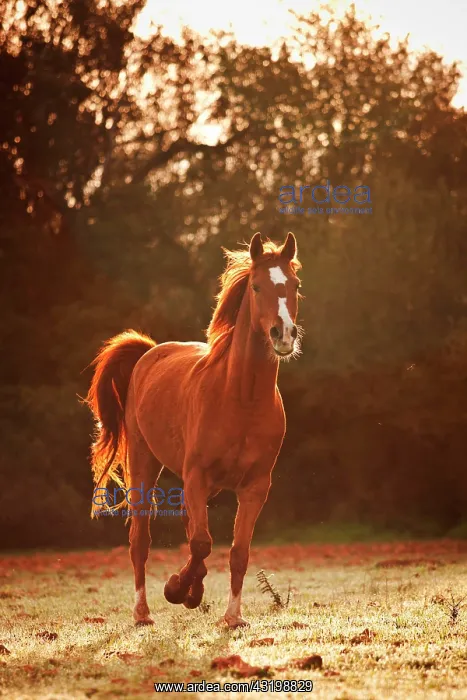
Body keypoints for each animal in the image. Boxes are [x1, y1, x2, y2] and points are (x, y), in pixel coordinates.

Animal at [86, 231, 303, 628]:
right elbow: (202, 543)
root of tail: (148, 354)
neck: (241, 399)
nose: (283, 335)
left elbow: (237, 551)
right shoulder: (197, 476)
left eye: (294, 285)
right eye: (257, 286)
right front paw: (175, 589)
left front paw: (232, 617)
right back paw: (143, 613)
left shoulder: (254, 487)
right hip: (144, 463)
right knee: (140, 541)